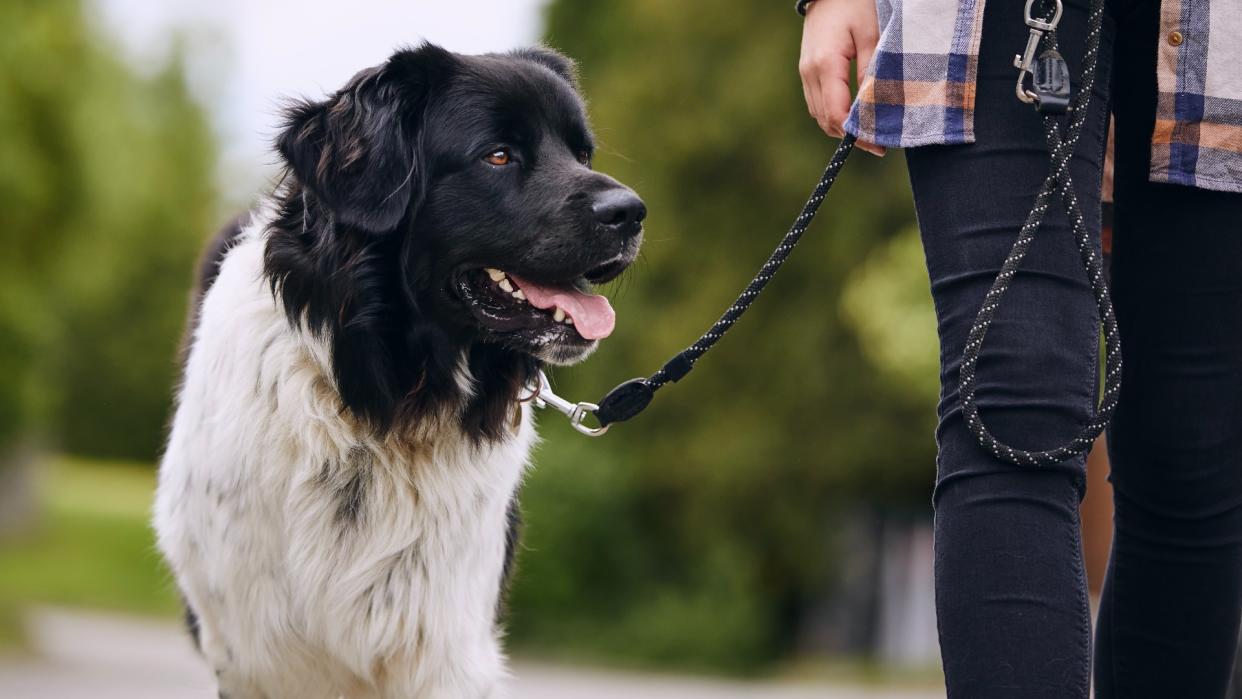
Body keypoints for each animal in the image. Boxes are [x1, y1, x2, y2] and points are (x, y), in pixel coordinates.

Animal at [151, 45, 645, 699]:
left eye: (582, 153)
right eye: (498, 155)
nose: (632, 213)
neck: (385, 404)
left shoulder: (447, 642)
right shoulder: (256, 653)